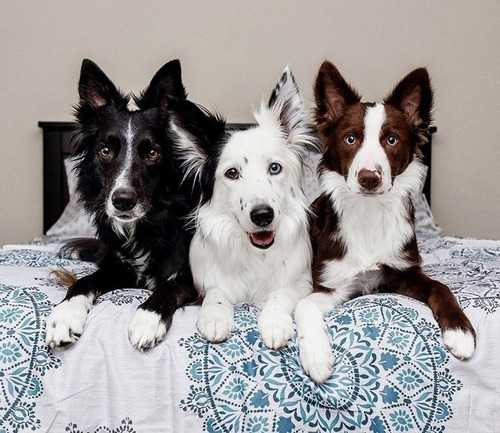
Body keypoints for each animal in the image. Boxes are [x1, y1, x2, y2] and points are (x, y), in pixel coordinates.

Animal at [45, 59, 201, 352]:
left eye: (153, 153)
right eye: (105, 151)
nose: (122, 201)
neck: (148, 227)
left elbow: (169, 287)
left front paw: (147, 319)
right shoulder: (116, 267)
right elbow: (83, 282)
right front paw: (65, 315)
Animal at [170, 68, 320, 352]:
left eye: (274, 168)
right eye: (232, 173)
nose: (262, 216)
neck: (255, 254)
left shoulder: (302, 282)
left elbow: (280, 294)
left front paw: (274, 322)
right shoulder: (205, 284)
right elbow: (216, 293)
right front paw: (215, 315)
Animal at [294, 60, 474, 382]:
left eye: (392, 140)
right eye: (350, 138)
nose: (369, 178)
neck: (370, 212)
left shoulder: (403, 272)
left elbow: (441, 287)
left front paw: (460, 331)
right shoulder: (332, 285)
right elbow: (304, 305)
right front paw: (316, 356)